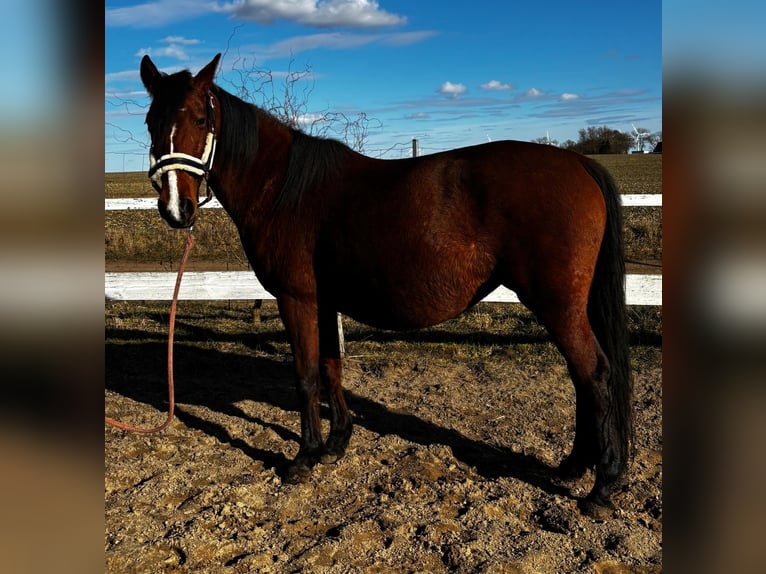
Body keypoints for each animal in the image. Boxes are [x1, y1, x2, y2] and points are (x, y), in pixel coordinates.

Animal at [140, 53, 632, 515]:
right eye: (150, 121)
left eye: (199, 119)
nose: (176, 208)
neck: (283, 187)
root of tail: (578, 162)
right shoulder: (325, 301)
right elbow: (331, 368)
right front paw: (336, 443)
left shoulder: (296, 299)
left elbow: (305, 375)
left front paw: (304, 457)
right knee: (583, 378)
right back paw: (573, 467)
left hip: (557, 304)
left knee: (594, 374)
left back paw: (602, 486)